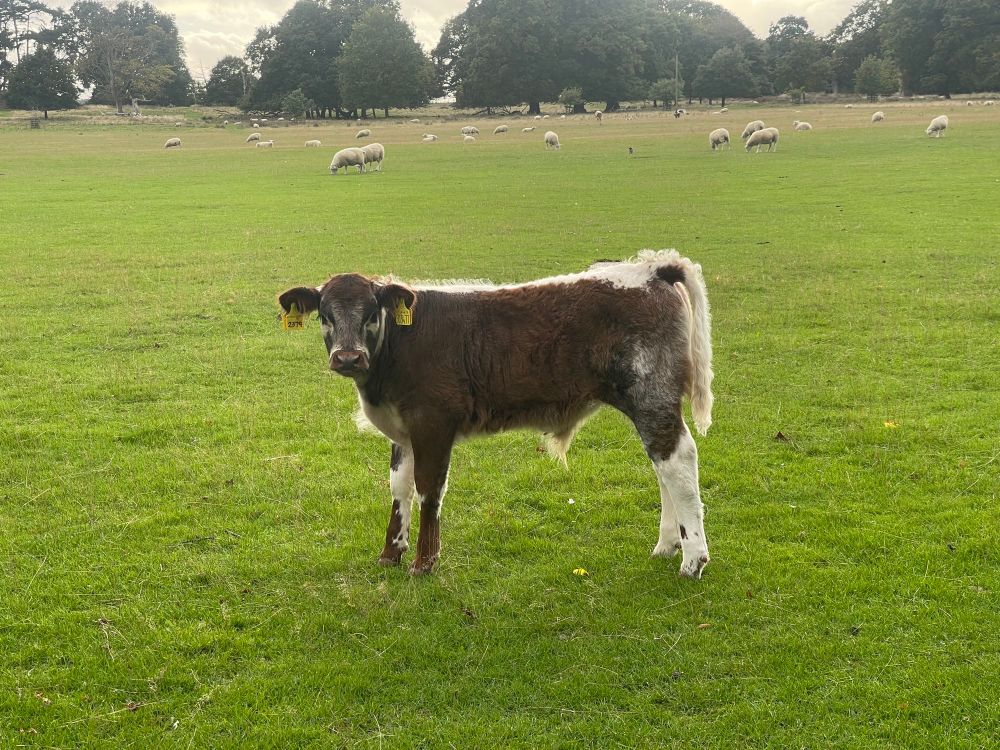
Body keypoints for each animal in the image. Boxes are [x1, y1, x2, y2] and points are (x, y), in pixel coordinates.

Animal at [277, 250, 715, 579]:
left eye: (371, 313)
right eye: (324, 314)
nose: (348, 358)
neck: (398, 347)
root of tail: (653, 268)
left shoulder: (433, 424)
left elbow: (429, 489)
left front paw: (424, 562)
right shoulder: (403, 432)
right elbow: (399, 489)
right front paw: (391, 552)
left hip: (651, 396)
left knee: (678, 461)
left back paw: (692, 558)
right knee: (662, 466)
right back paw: (667, 546)